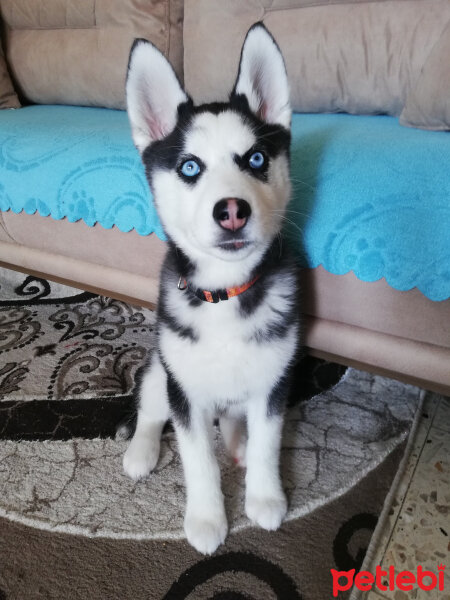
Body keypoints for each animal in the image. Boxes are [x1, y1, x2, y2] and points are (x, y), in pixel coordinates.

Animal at [121, 23, 300, 556]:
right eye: (190, 167)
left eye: (256, 158)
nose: (232, 210)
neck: (226, 293)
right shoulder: (185, 391)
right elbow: (197, 458)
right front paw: (205, 519)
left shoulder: (274, 381)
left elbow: (268, 442)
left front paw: (265, 497)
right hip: (162, 368)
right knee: (150, 406)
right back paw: (141, 450)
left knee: (236, 420)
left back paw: (238, 442)